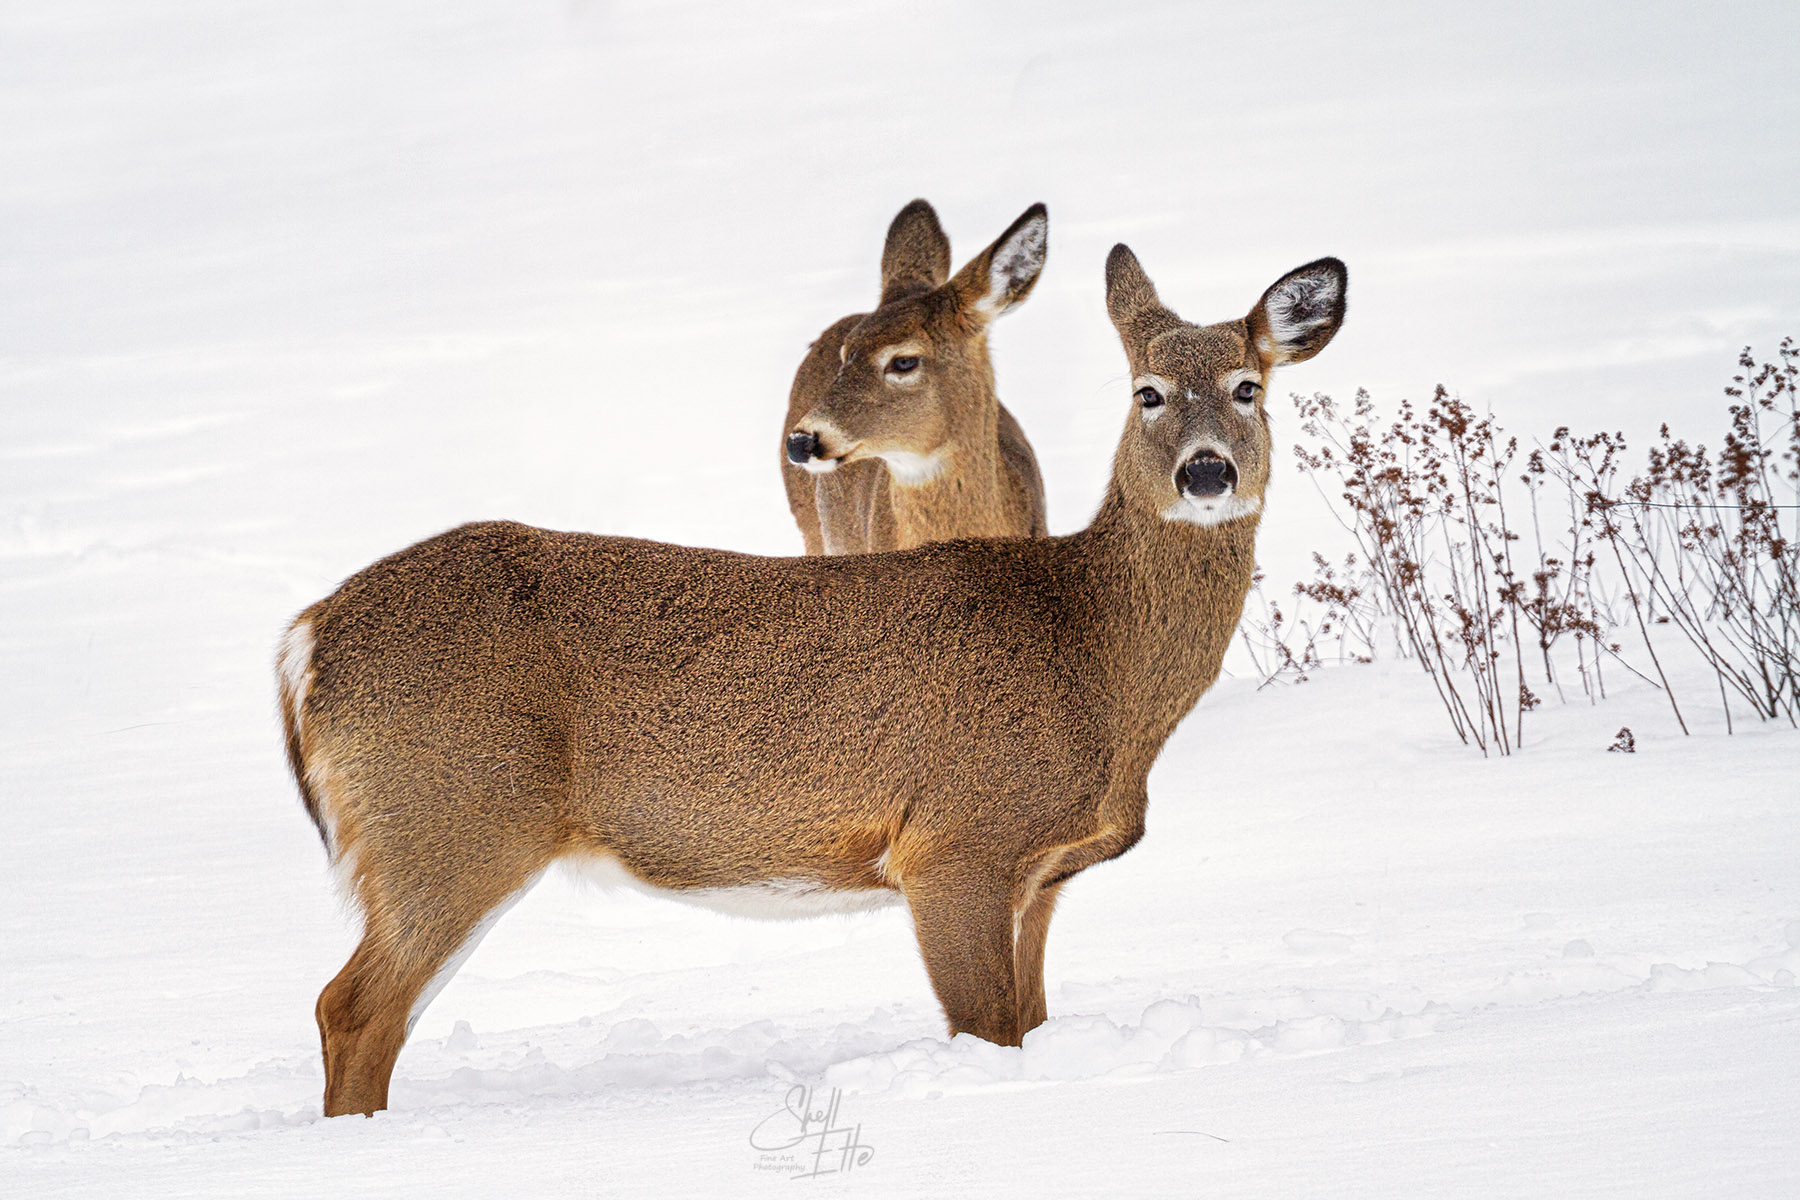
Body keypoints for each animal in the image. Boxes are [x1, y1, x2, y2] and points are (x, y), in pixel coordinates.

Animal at [278, 245, 1347, 1117]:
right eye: (1148, 391)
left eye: (1248, 388)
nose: (1205, 474)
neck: (1093, 658)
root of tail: (306, 638)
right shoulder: (953, 842)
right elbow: (987, 1034)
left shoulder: (1040, 874)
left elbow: (1032, 1027)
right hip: (452, 818)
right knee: (352, 1010)